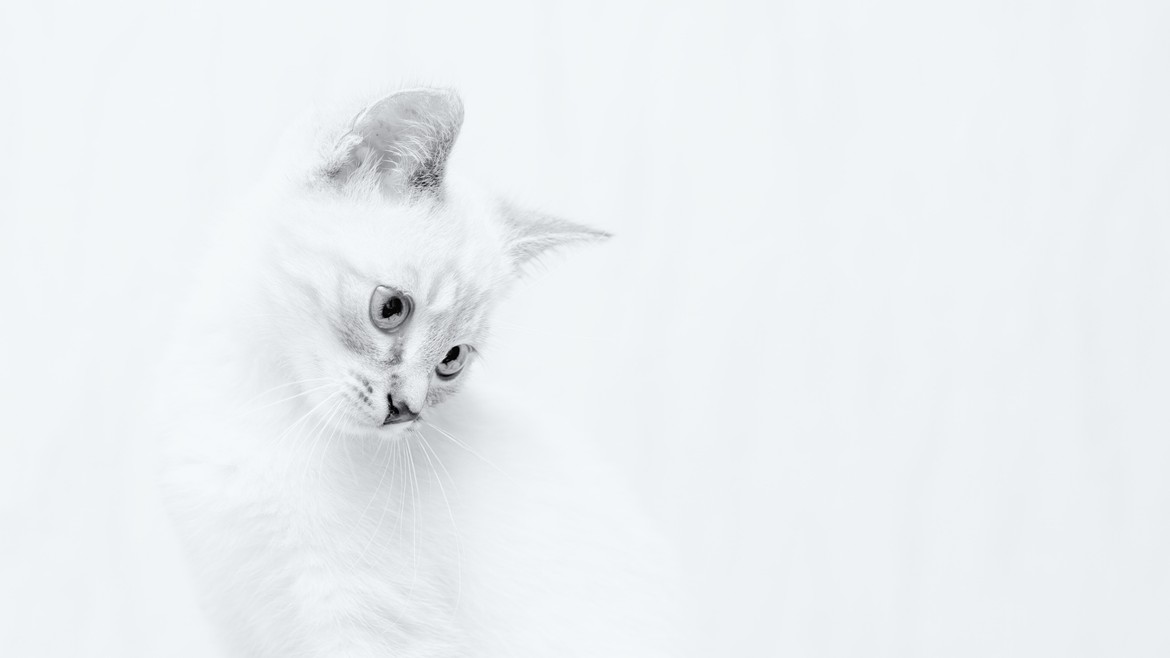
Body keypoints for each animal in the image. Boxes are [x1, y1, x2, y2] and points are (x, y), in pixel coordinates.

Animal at [160, 88, 683, 655]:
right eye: (390, 308)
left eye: (451, 359)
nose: (404, 409)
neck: (267, 409)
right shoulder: (235, 618)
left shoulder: (370, 624)